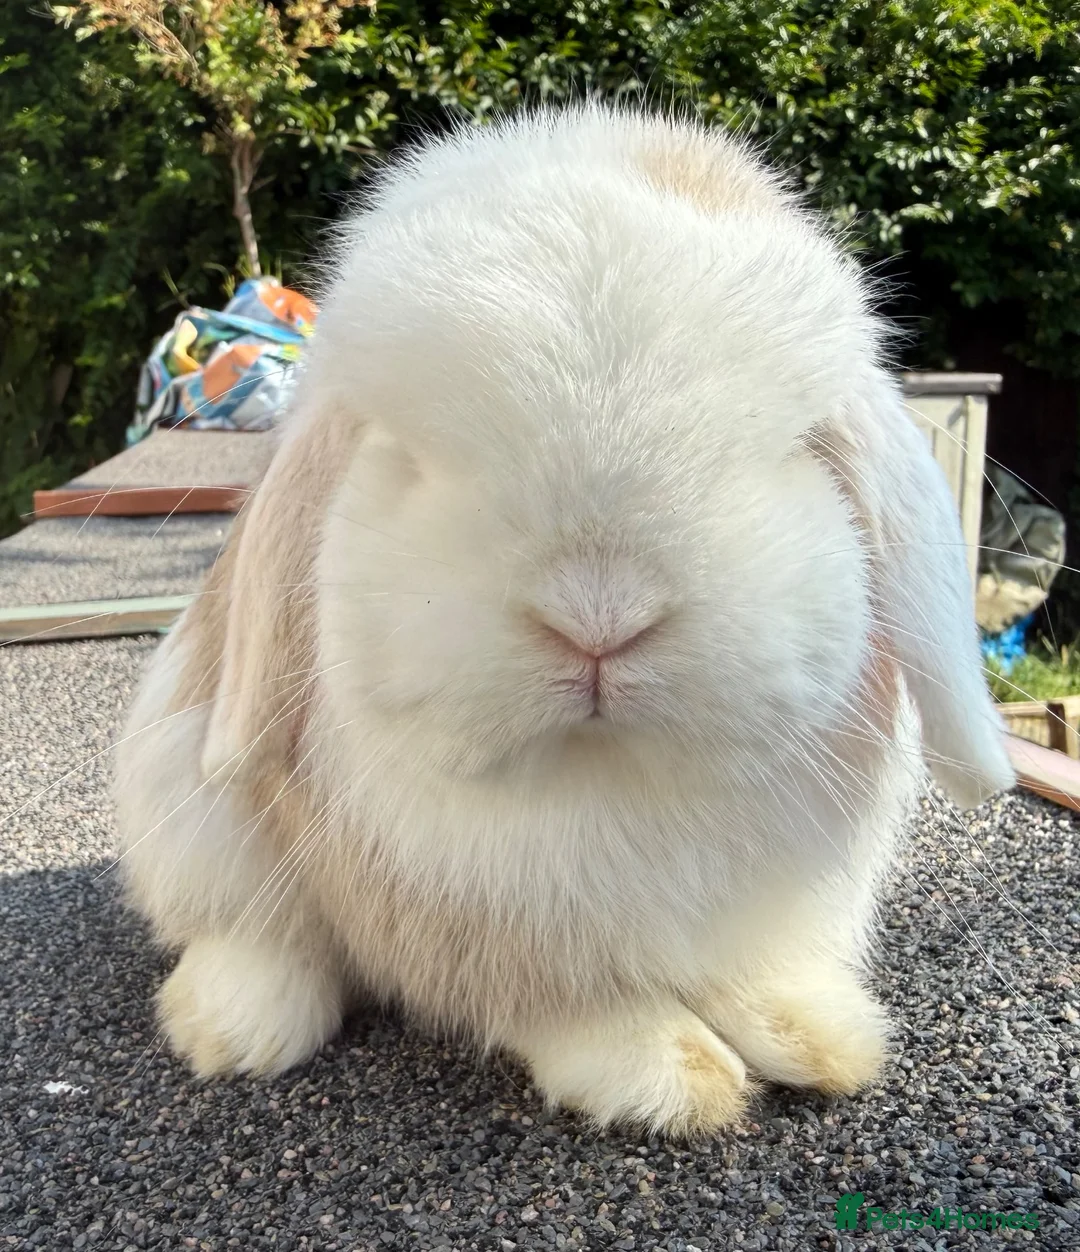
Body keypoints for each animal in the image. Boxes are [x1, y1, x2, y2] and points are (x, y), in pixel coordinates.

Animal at [113, 103, 1014, 1137]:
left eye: (798, 448)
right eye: (407, 457)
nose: (599, 615)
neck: (607, 781)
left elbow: (751, 973)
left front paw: (818, 1032)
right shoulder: (474, 927)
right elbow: (566, 1005)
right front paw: (668, 1075)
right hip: (184, 808)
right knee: (249, 930)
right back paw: (233, 1025)